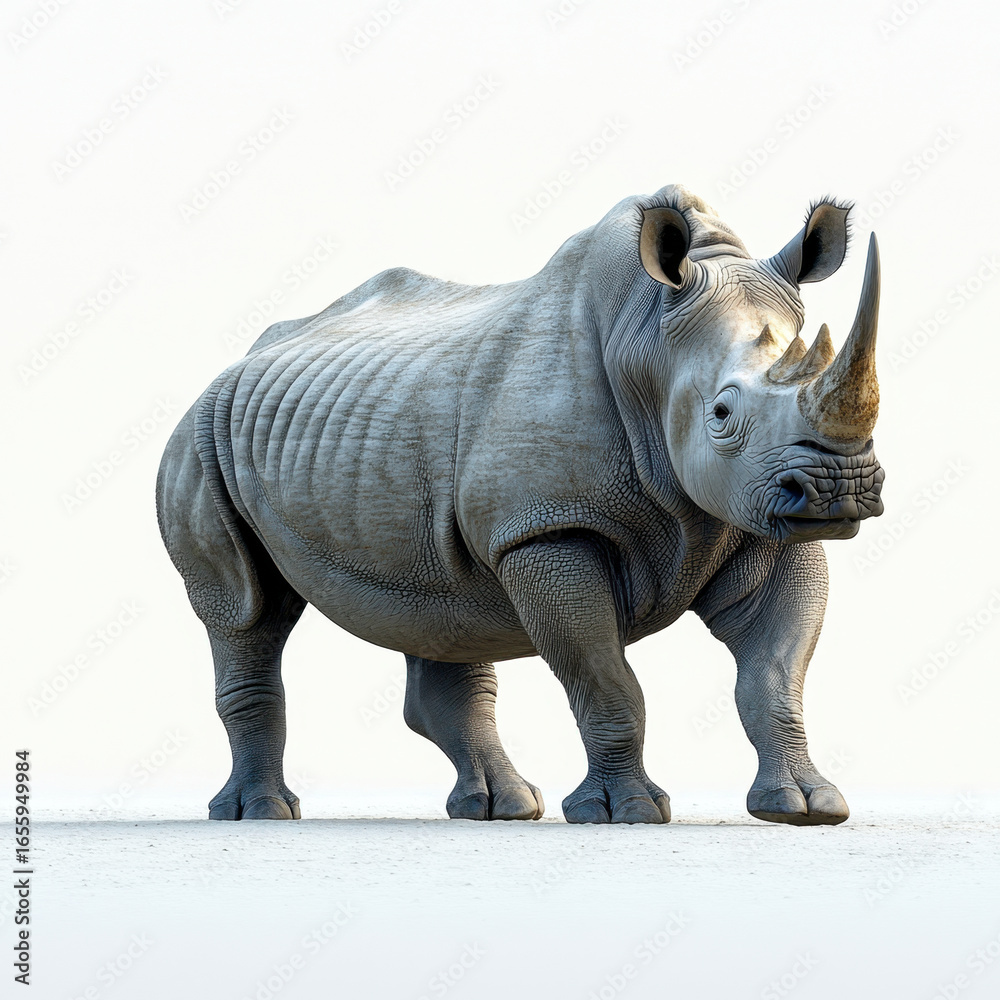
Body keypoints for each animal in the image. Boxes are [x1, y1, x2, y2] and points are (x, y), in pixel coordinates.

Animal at [157, 184, 884, 826]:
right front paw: (626, 813)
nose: (837, 487)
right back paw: (258, 813)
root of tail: (245, 355)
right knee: (245, 610)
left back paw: (500, 808)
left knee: (441, 607)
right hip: (199, 437)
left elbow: (773, 675)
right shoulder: (544, 531)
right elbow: (606, 679)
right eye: (722, 415)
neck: (651, 342)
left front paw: (807, 807)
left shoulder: (756, 517)